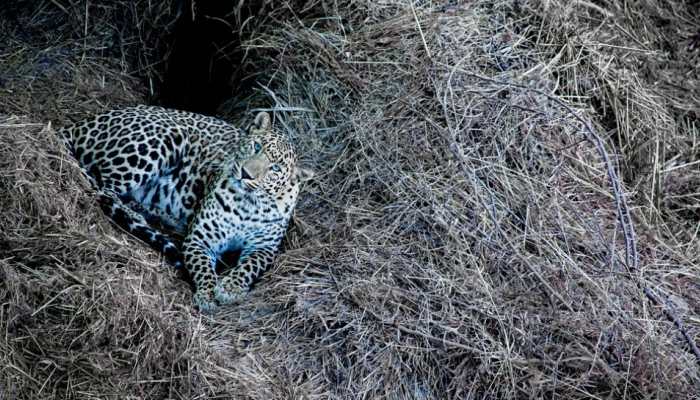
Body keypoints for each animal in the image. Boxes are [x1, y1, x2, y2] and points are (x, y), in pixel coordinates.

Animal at [57, 105, 312, 312]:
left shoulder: (264, 248)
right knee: (104, 191)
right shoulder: (201, 238)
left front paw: (230, 288)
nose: (245, 173)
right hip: (163, 138)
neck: (247, 203)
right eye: (256, 146)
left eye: (275, 169)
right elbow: (203, 268)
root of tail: (81, 123)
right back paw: (137, 218)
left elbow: (249, 266)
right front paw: (208, 295)